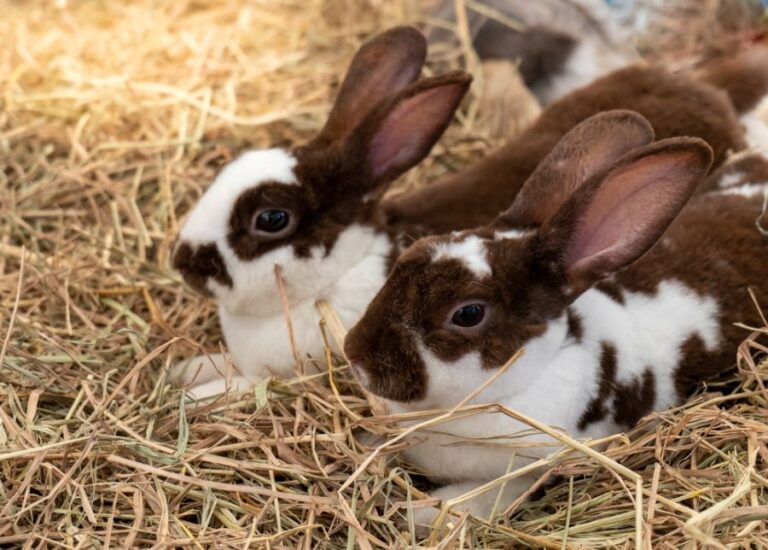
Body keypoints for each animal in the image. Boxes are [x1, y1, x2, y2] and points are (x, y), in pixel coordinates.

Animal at [344, 109, 768, 529]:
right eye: (408, 254)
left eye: (468, 313)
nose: (355, 355)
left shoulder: (533, 469)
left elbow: (479, 498)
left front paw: (424, 512)